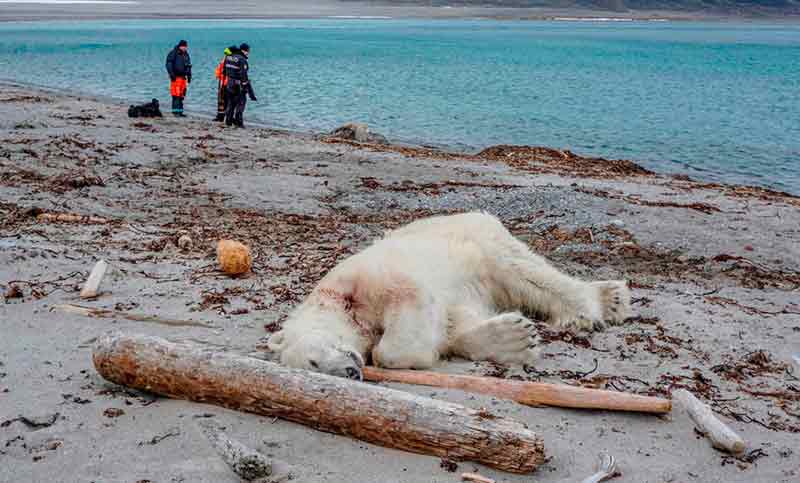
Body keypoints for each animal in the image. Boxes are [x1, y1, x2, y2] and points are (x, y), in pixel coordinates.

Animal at [268, 212, 631, 380]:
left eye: (313, 361)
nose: (350, 372)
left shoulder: (367, 278)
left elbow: (406, 307)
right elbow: (454, 324)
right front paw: (514, 338)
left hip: (480, 241)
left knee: (526, 272)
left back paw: (601, 303)